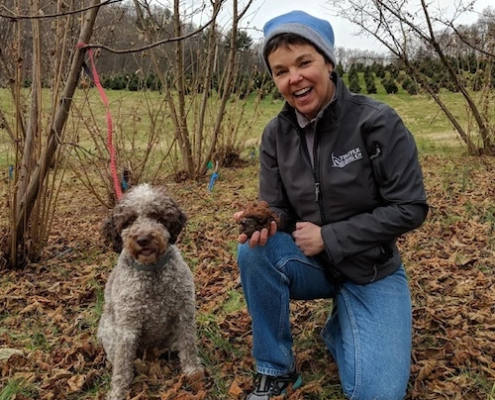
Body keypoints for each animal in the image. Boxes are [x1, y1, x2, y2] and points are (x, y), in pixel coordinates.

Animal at [99, 184, 203, 400]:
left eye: (156, 216)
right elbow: (122, 364)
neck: (152, 273)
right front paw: (118, 391)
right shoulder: (127, 327)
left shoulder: (184, 313)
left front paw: (193, 371)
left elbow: (188, 343)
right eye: (129, 220)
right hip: (108, 331)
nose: (143, 239)